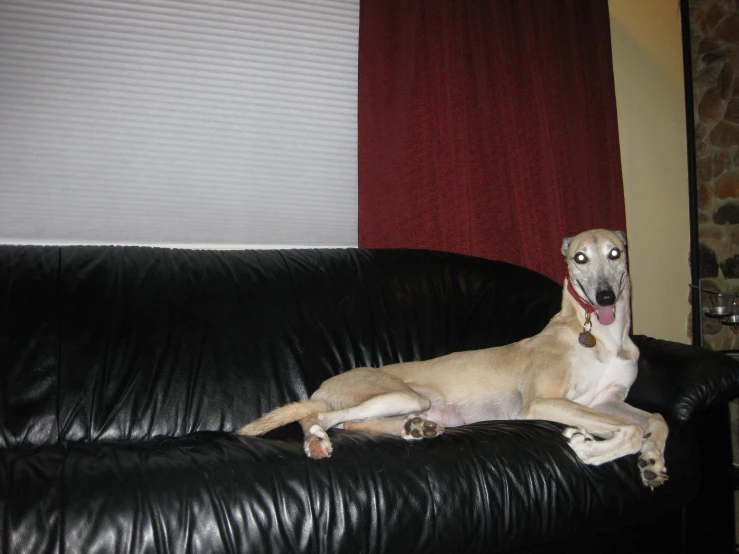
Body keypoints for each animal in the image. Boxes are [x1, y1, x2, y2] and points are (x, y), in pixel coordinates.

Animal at [238, 229, 672, 488]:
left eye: (615, 253)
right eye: (580, 258)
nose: (604, 297)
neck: (601, 338)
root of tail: (322, 387)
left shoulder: (607, 400)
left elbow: (654, 419)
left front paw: (652, 460)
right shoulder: (543, 402)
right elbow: (629, 431)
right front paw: (587, 448)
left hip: (407, 404)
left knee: (357, 424)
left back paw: (415, 429)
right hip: (400, 393)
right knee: (323, 418)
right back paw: (318, 440)